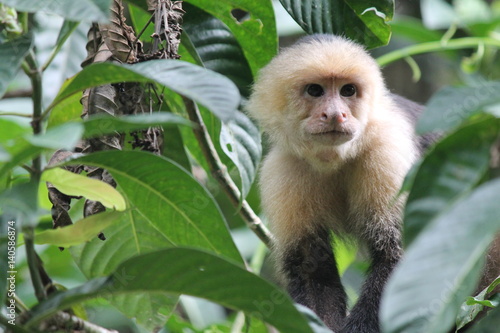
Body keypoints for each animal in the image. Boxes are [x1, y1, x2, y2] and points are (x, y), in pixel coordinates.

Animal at [247, 34, 442, 332]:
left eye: (348, 90)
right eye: (315, 91)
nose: (335, 114)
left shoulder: (387, 150)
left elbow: (401, 255)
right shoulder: (284, 170)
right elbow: (311, 268)